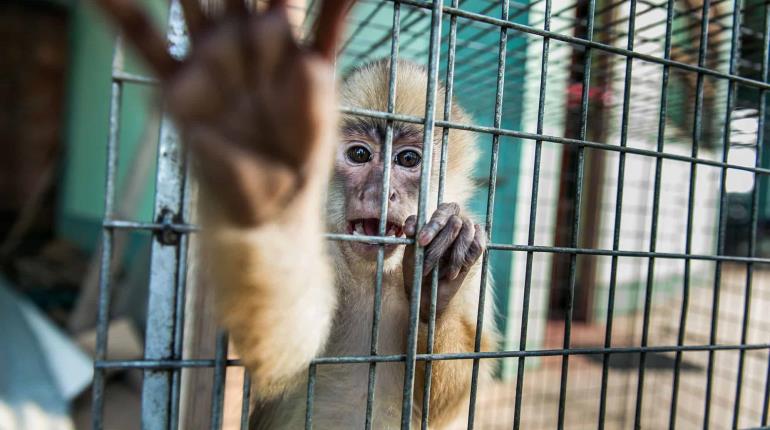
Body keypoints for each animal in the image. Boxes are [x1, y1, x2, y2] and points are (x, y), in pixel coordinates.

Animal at [93, 0, 496, 426]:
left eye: (407, 159)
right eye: (359, 154)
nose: (381, 190)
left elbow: (447, 399)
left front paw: (437, 283)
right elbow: (282, 353)